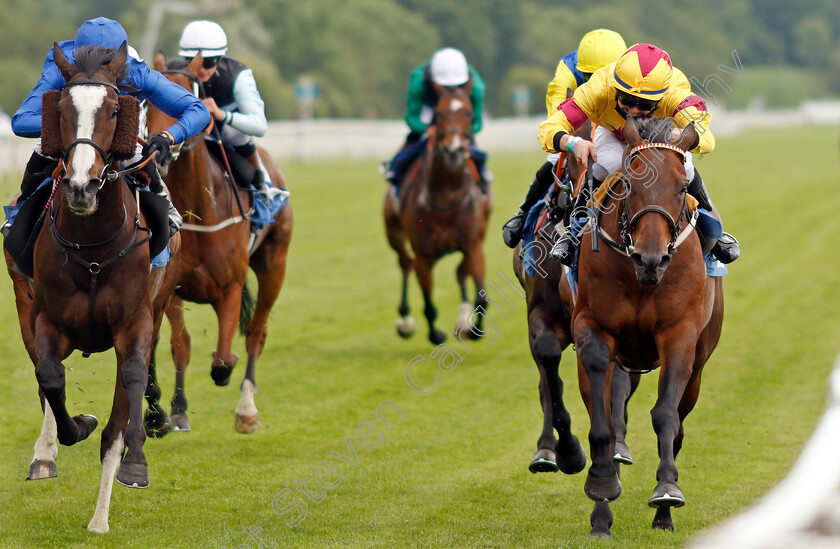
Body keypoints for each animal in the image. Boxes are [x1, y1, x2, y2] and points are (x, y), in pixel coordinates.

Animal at [2, 42, 180, 532]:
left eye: (116, 109)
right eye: (61, 109)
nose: (81, 186)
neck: (94, 246)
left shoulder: (135, 322)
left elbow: (131, 385)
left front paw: (133, 464)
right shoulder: (48, 320)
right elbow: (50, 377)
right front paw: (75, 427)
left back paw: (102, 512)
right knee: (45, 381)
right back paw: (45, 456)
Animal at [147, 53, 296, 434]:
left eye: (187, 96)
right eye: (146, 101)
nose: (157, 148)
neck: (201, 211)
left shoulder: (231, 286)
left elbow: (224, 360)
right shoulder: (173, 287)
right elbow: (180, 344)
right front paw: (175, 410)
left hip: (274, 265)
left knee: (256, 332)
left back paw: (246, 409)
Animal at [382, 85, 492, 342]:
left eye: (470, 114)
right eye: (438, 115)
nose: (454, 149)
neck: (446, 198)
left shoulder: (473, 243)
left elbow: (480, 295)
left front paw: (472, 328)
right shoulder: (423, 252)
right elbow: (429, 304)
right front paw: (436, 333)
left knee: (460, 272)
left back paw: (462, 319)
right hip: (393, 232)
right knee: (405, 263)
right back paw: (405, 320)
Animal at [576, 116, 724, 536]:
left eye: (682, 187)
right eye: (629, 182)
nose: (651, 258)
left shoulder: (680, 334)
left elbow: (666, 414)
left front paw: (667, 492)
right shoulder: (591, 323)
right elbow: (602, 412)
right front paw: (602, 483)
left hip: (700, 365)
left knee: (680, 422)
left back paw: (663, 515)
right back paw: (601, 516)